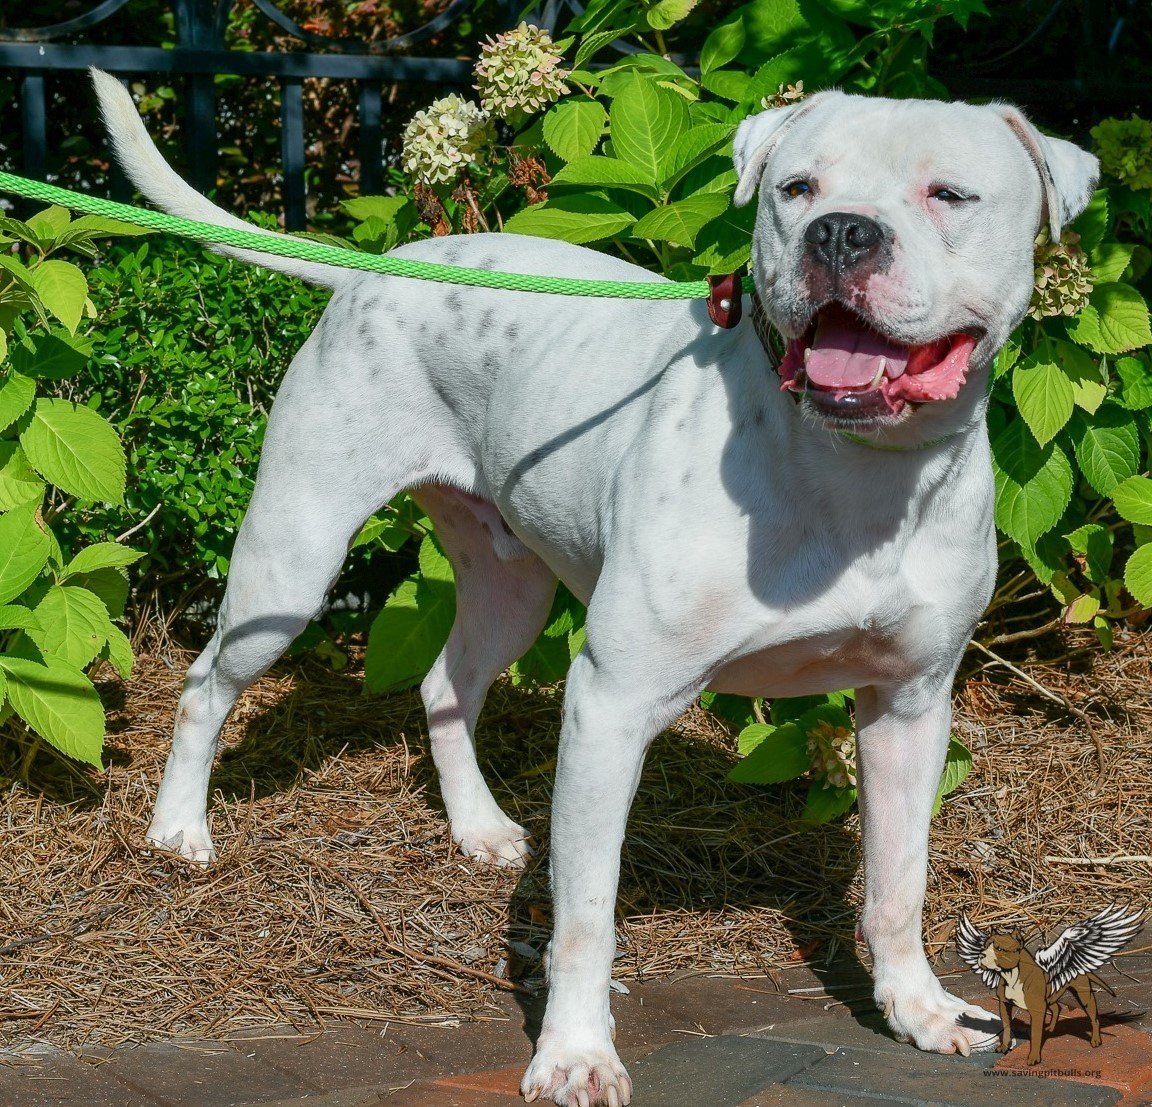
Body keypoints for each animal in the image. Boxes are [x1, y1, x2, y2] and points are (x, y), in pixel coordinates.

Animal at [92, 71, 1096, 1105]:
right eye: (797, 188)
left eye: (949, 195)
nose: (843, 233)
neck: (853, 470)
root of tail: (381, 267)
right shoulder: (611, 704)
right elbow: (585, 914)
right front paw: (574, 1052)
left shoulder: (910, 706)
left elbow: (898, 880)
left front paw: (920, 1008)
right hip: (293, 558)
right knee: (207, 682)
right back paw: (178, 830)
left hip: (511, 585)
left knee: (446, 681)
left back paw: (479, 827)